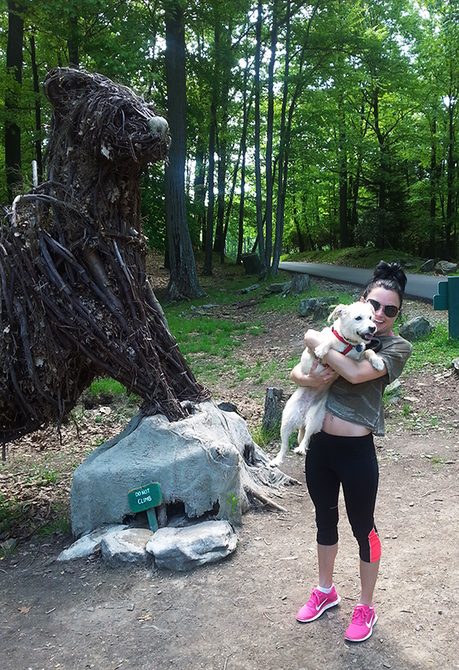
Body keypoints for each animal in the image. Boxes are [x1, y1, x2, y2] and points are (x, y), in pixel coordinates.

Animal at [270, 304, 384, 468]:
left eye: (370, 317)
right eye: (358, 318)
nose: (373, 327)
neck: (347, 343)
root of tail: (302, 418)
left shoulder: (355, 362)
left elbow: (368, 350)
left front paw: (378, 361)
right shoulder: (310, 352)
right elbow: (327, 341)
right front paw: (323, 348)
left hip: (313, 417)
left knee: (306, 437)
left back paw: (300, 449)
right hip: (286, 420)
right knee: (284, 446)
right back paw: (277, 460)